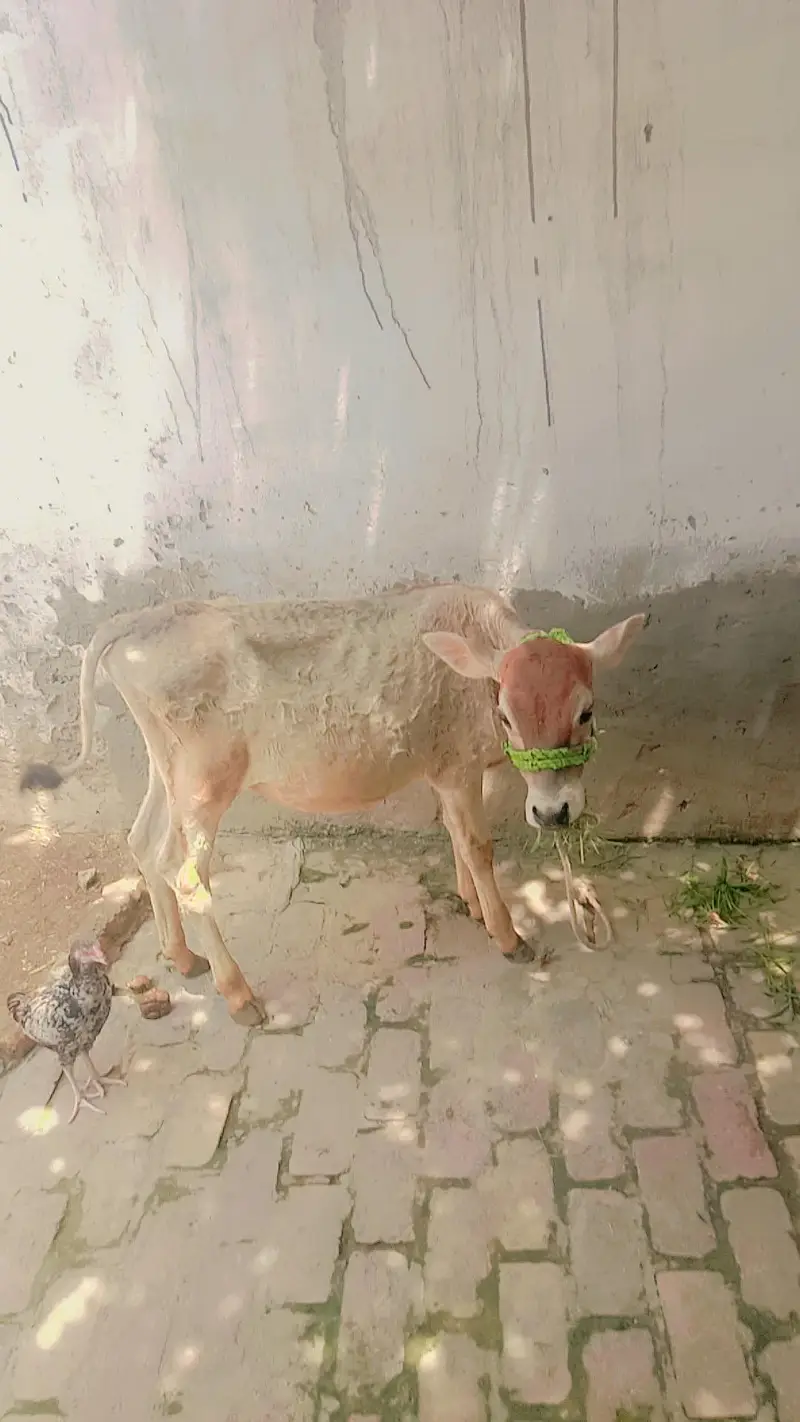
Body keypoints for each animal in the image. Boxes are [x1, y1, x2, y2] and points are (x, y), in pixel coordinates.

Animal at [21, 584, 645, 1025]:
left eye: (585, 710)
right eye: (507, 716)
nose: (554, 812)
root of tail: (139, 619)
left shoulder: (449, 772)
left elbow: (455, 835)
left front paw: (471, 903)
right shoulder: (456, 768)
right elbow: (478, 843)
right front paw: (508, 934)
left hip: (167, 771)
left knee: (145, 844)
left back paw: (182, 957)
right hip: (204, 782)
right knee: (187, 874)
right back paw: (238, 994)